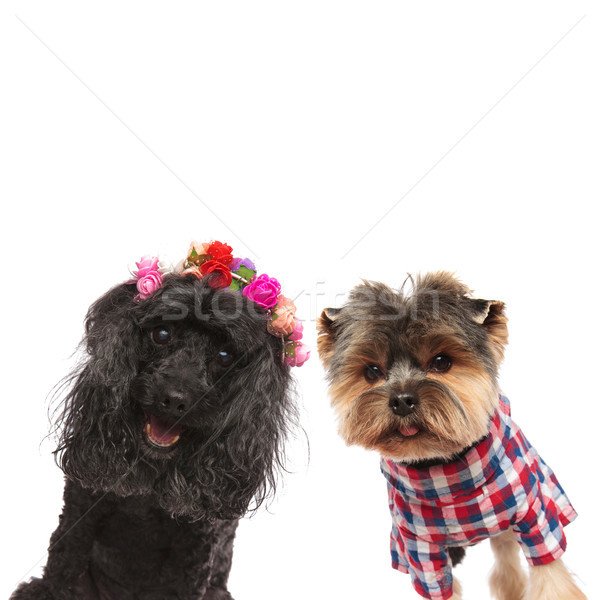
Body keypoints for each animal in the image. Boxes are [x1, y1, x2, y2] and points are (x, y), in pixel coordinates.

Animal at [11, 241, 310, 596]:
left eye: (225, 356)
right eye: (162, 333)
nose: (175, 400)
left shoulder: (195, 542)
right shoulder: (81, 504)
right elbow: (64, 560)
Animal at [318, 274, 584, 600]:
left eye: (441, 361)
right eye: (371, 371)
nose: (402, 400)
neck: (446, 475)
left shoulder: (535, 514)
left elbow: (549, 571)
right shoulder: (418, 544)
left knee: (505, 545)